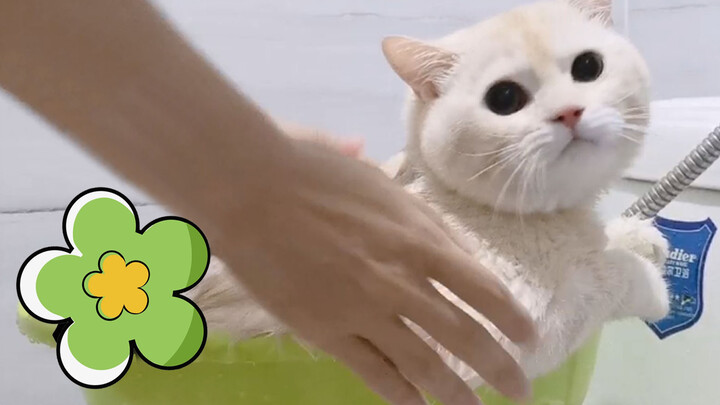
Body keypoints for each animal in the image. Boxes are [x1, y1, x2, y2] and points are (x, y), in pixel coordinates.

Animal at [186, 0, 668, 392]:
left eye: (588, 67)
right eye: (504, 97)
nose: (569, 112)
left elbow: (602, 244)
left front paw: (637, 237)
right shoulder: (477, 332)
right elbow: (601, 280)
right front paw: (649, 282)